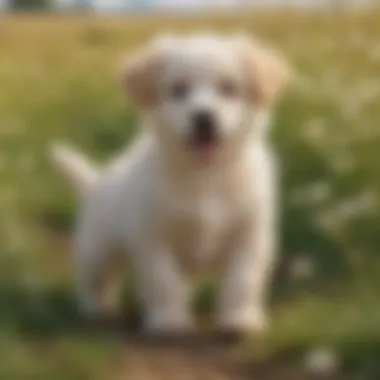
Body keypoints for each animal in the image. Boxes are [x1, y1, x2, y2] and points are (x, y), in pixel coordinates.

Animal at [50, 33, 288, 336]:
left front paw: (239, 318)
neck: (205, 176)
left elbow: (242, 280)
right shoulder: (154, 239)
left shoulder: (249, 237)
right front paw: (168, 320)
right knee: (94, 280)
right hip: (97, 248)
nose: (203, 117)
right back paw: (96, 307)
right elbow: (163, 282)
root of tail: (95, 183)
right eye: (178, 90)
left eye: (228, 88)